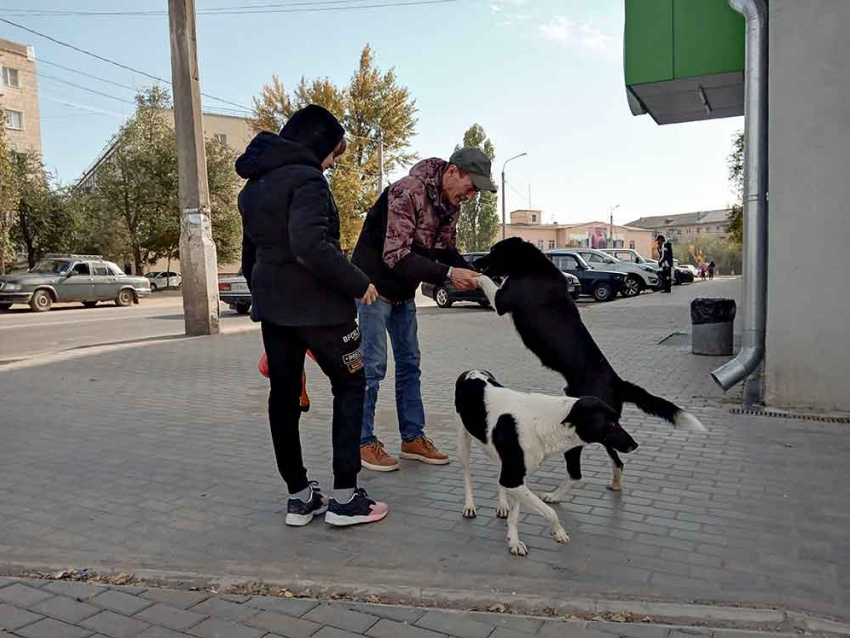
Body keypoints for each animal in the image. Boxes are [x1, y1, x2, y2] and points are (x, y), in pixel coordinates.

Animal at [454, 370, 632, 560]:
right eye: (611, 423)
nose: (634, 444)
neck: (547, 422)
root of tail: (471, 371)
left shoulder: (516, 477)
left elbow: (514, 515)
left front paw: (513, 541)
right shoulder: (513, 478)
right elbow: (550, 512)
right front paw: (558, 531)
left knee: (498, 480)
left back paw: (502, 505)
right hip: (463, 441)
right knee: (467, 475)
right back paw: (469, 506)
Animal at [474, 238, 704, 498]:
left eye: (494, 251)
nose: (475, 261)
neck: (530, 264)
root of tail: (618, 383)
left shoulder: (502, 300)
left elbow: (485, 281)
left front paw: (474, 275)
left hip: (584, 430)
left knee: (579, 471)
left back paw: (555, 496)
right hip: (607, 429)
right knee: (618, 459)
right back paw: (615, 483)